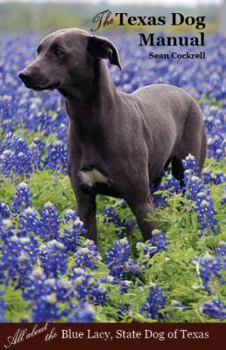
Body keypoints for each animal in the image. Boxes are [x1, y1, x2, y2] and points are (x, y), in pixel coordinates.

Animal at [19, 28, 207, 242]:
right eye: (38, 51)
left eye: (59, 51)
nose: (23, 75)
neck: (89, 122)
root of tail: (185, 93)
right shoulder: (84, 201)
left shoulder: (140, 202)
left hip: (186, 171)